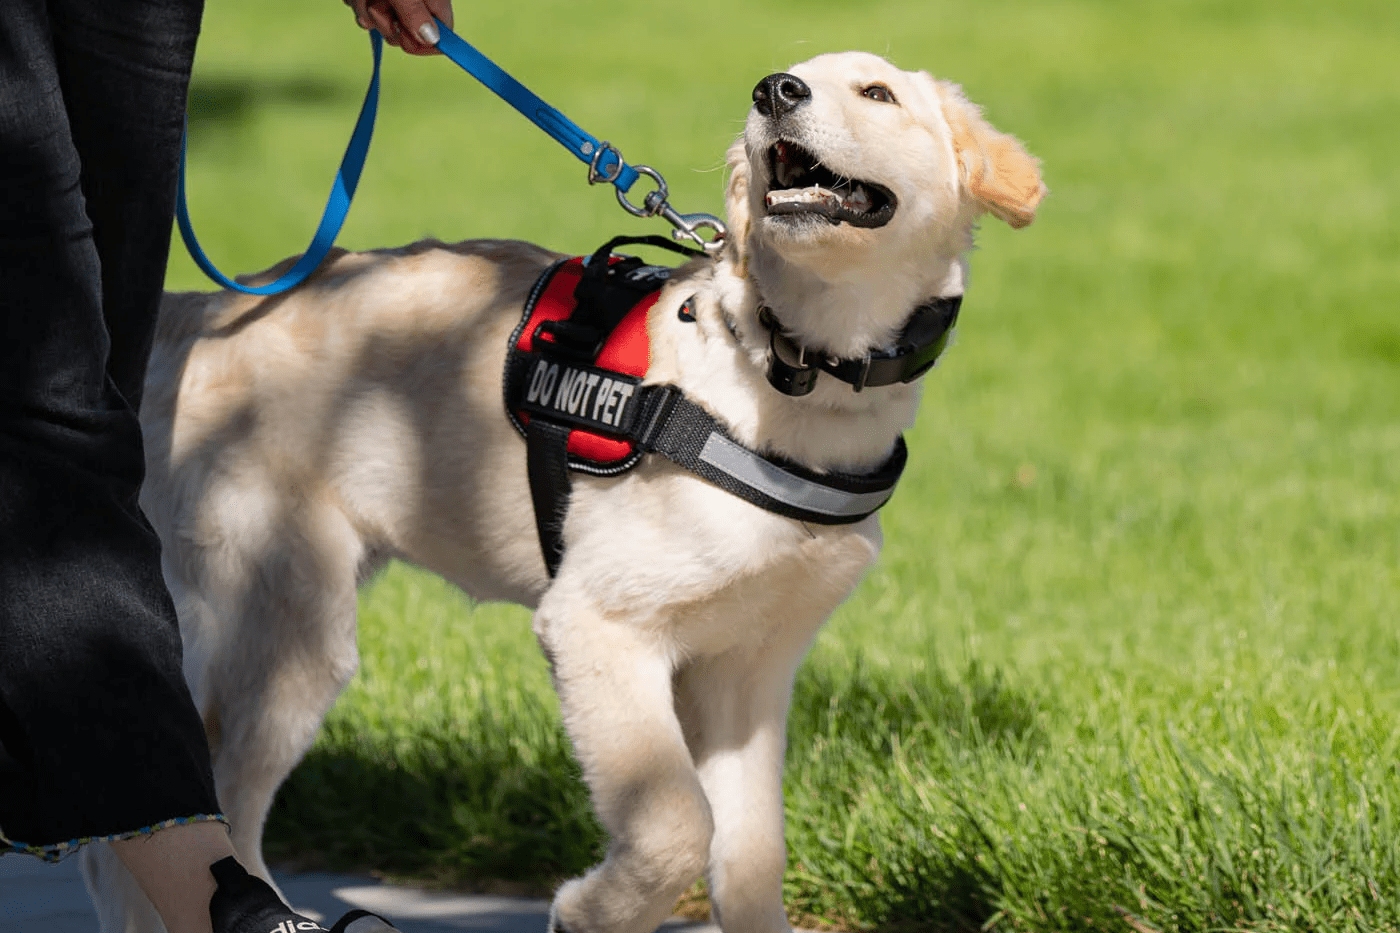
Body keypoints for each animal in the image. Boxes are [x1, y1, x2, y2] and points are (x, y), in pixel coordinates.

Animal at [82, 51, 1043, 933]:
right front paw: (596, 909)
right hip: (283, 624)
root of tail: (205, 308)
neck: (787, 370)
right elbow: (675, 822)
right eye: (794, 78)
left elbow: (749, 852)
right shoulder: (597, 626)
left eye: (878, 94)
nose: (774, 91)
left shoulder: (749, 667)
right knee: (199, 819)